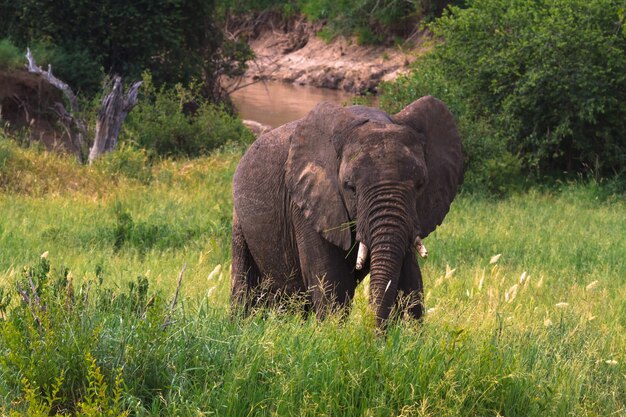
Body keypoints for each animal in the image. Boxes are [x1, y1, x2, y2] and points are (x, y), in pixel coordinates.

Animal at [230, 96, 464, 326]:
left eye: (421, 184)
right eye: (349, 187)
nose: (375, 331)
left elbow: (410, 278)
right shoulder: (306, 203)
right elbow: (331, 281)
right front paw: (334, 329)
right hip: (239, 221)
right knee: (243, 281)